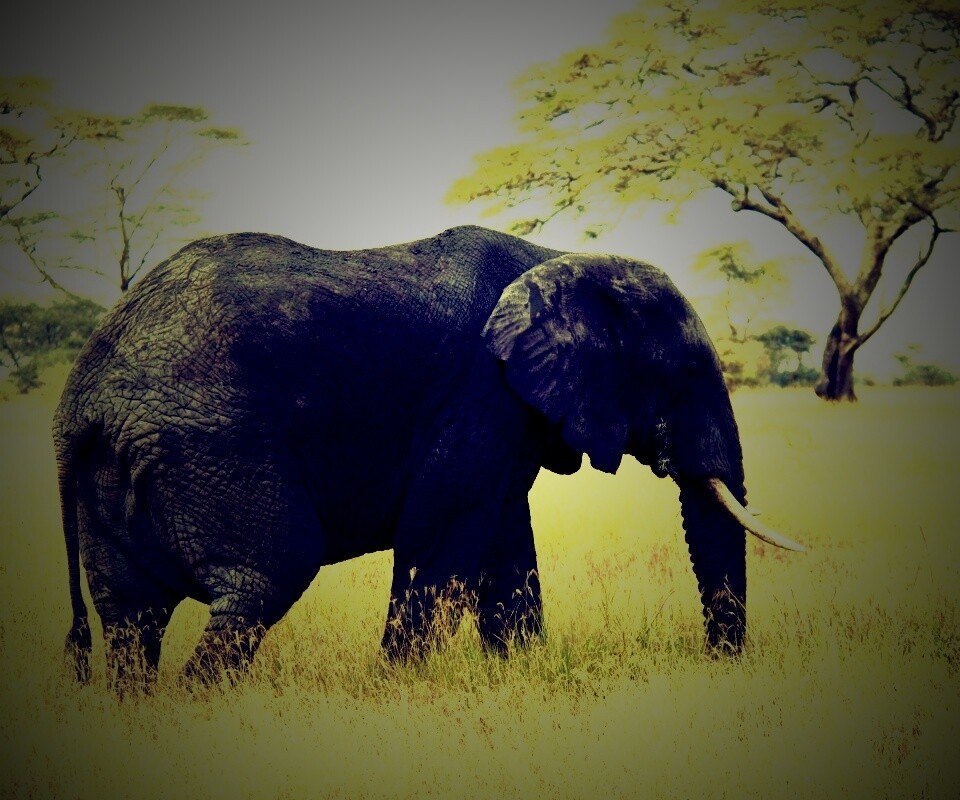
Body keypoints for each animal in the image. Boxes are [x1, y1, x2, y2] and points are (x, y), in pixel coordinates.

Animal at [54, 224, 803, 690]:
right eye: (686, 371)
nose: (719, 663)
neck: (561, 256)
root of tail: (79, 403)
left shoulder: (505, 416)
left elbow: (505, 545)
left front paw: (520, 675)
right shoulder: (478, 392)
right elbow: (440, 538)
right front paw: (397, 688)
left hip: (123, 467)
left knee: (130, 614)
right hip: (210, 447)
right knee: (267, 575)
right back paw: (202, 706)